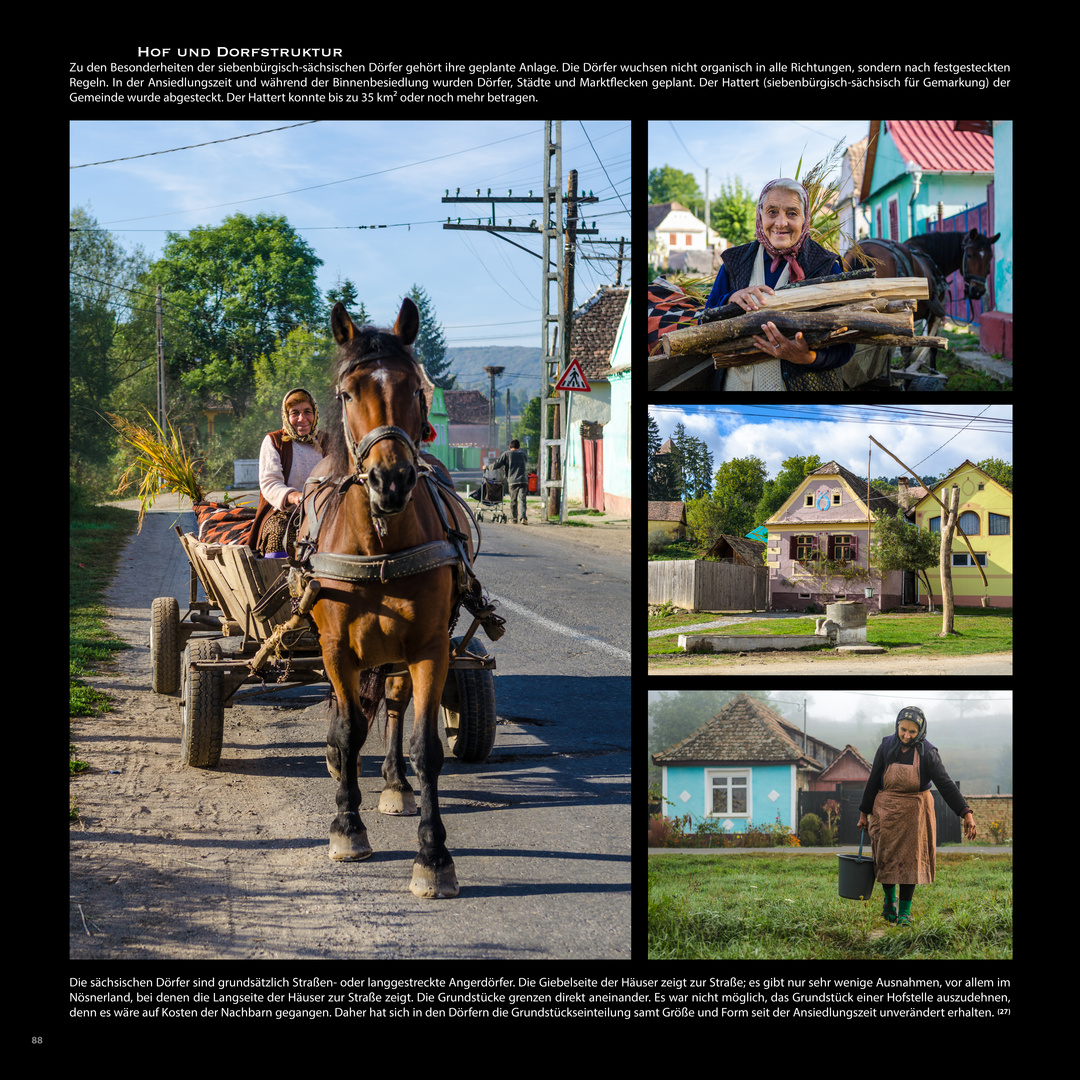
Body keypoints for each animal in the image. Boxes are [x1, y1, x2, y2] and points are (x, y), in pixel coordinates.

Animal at [306, 295, 470, 894]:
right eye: (349, 393)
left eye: (414, 388)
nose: (392, 480)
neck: (379, 542)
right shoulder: (335, 647)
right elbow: (349, 729)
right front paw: (346, 827)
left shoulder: (429, 646)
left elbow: (426, 745)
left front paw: (434, 856)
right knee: (351, 718)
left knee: (395, 705)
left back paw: (396, 784)